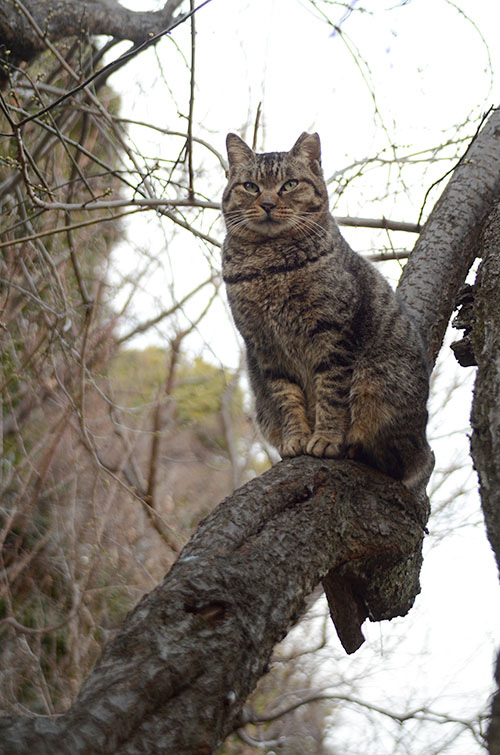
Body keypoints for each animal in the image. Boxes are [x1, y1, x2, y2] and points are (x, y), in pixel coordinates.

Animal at [220, 133, 434, 500]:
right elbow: (287, 398)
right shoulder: (265, 347)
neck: (268, 265)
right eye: (250, 186)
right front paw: (296, 438)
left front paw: (327, 438)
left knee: (394, 457)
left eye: (289, 184)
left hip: (376, 387)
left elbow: (330, 395)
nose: (267, 203)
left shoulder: (333, 334)